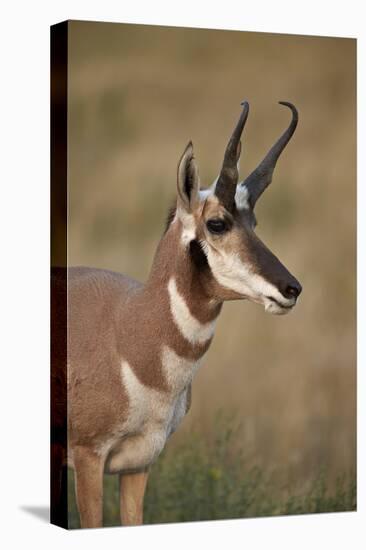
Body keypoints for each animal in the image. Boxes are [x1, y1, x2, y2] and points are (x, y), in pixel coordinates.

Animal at [52, 99, 304, 532]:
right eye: (217, 223)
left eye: (254, 221)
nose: (291, 288)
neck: (129, 330)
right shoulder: (88, 459)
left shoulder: (138, 465)